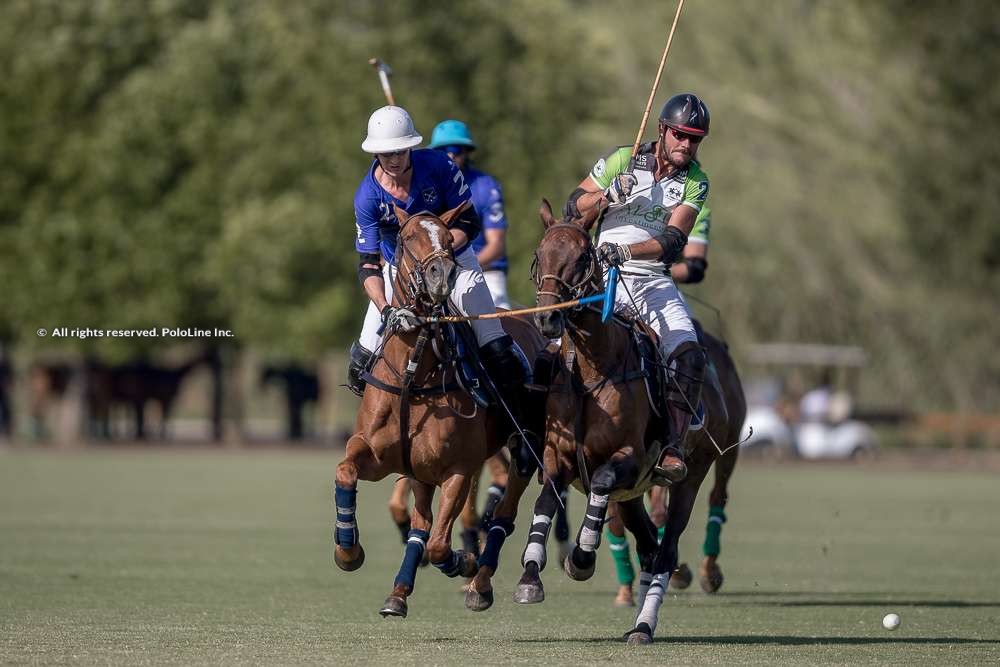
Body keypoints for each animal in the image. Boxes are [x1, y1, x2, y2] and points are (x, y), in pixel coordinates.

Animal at [332, 205, 544, 620]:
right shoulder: (383, 456)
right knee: (424, 522)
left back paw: (480, 583)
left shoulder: (458, 469)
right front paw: (348, 553)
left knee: (504, 513)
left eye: (448, 238)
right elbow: (346, 472)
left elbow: (440, 543)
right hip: (426, 470)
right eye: (408, 237)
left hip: (524, 447)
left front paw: (464, 562)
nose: (442, 275)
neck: (413, 374)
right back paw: (400, 590)